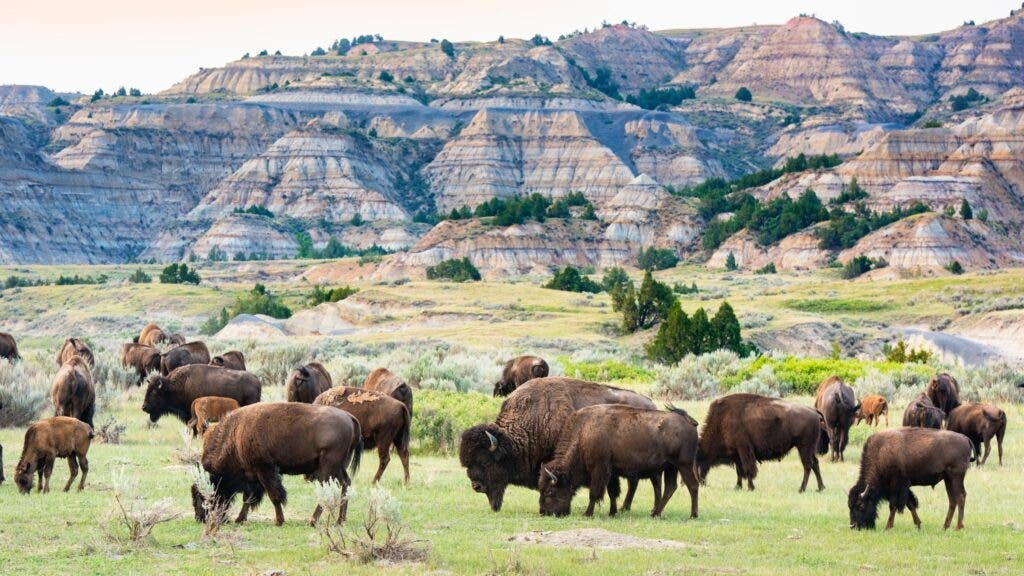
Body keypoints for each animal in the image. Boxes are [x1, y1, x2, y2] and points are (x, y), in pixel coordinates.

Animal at [191, 402, 362, 526]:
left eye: (201, 496)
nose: (200, 518)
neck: (236, 433)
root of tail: (349, 417)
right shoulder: (252, 475)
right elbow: (248, 498)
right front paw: (240, 519)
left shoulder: (264, 470)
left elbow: (274, 495)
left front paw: (279, 521)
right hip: (338, 466)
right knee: (345, 483)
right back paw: (340, 520)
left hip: (328, 465)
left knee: (325, 488)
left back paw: (313, 521)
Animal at [460, 377, 655, 512]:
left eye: (485, 461)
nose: (476, 486)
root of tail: (651, 404)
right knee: (633, 482)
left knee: (633, 482)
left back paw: (624, 507)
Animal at [539, 405, 699, 518]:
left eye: (550, 491)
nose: (543, 512)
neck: (583, 432)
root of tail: (689, 421)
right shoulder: (612, 473)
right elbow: (612, 492)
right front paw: (612, 512)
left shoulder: (599, 470)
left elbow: (594, 493)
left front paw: (588, 514)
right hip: (671, 467)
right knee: (670, 488)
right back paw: (655, 514)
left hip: (684, 465)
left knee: (692, 486)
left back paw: (692, 515)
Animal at [696, 393, 828, 492]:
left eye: (696, 461)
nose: (700, 483)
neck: (722, 420)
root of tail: (813, 411)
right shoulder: (738, 454)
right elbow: (739, 471)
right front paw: (738, 487)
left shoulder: (744, 450)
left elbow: (748, 469)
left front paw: (750, 488)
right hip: (809, 449)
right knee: (815, 464)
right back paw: (820, 488)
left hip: (803, 447)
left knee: (808, 465)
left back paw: (801, 489)